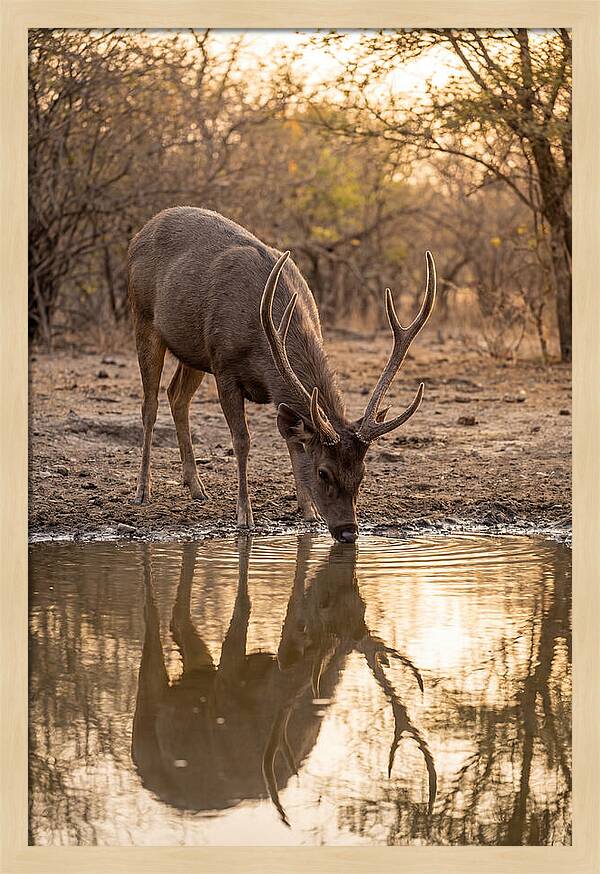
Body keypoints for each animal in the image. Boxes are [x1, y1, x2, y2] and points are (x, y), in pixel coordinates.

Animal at [128, 207, 436, 542]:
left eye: (362, 472)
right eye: (323, 472)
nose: (348, 531)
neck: (262, 341)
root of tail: (139, 233)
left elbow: (293, 442)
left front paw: (308, 511)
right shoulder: (224, 366)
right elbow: (242, 440)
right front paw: (245, 516)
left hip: (193, 351)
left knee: (177, 396)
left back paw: (196, 487)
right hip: (143, 318)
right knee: (150, 405)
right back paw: (143, 491)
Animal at [131, 535, 436, 827]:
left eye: (362, 604)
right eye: (325, 602)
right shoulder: (224, 691)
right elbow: (246, 607)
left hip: (198, 672)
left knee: (179, 623)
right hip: (146, 723)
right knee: (152, 635)